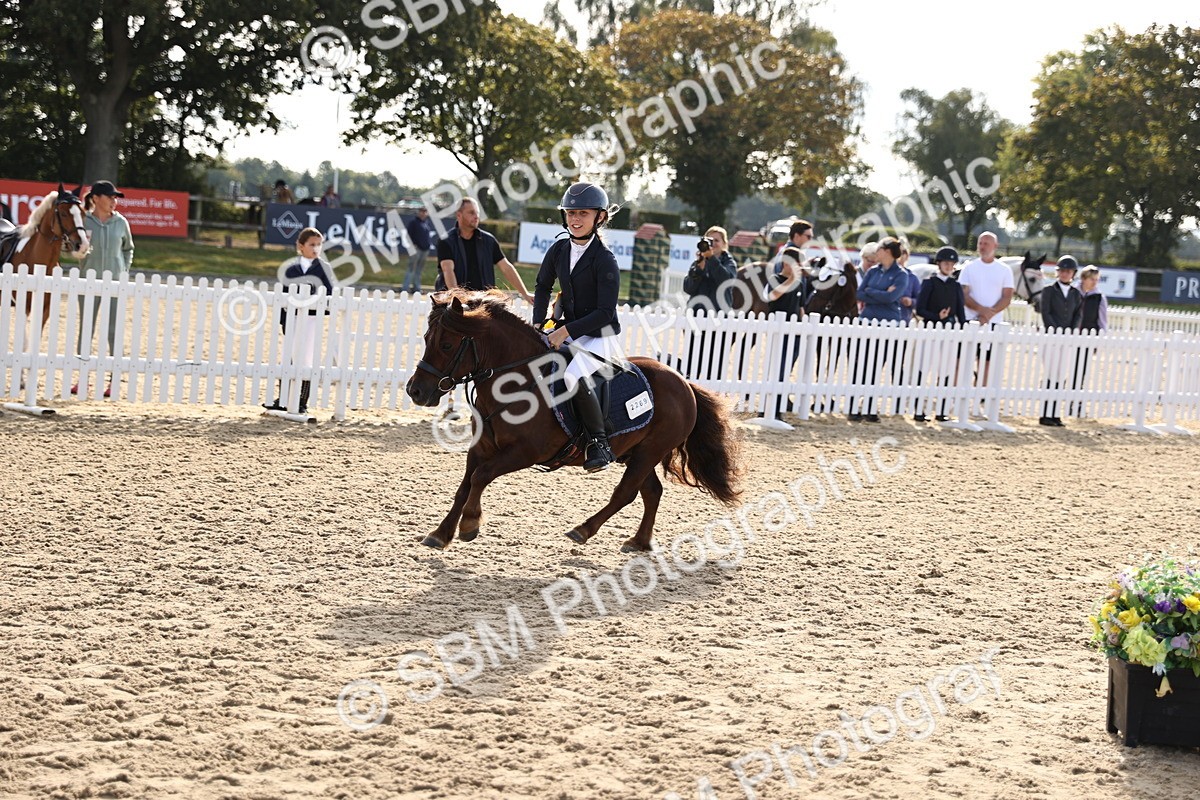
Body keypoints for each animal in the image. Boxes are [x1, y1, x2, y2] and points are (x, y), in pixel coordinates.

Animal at [405, 290, 743, 553]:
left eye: (447, 345)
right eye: (426, 338)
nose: (415, 391)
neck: (516, 382)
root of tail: (684, 383)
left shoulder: (525, 452)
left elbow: (481, 477)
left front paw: (470, 524)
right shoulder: (481, 448)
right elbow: (465, 485)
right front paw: (441, 533)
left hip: (650, 452)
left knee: (626, 493)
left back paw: (583, 530)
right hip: (635, 452)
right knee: (651, 492)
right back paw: (639, 541)